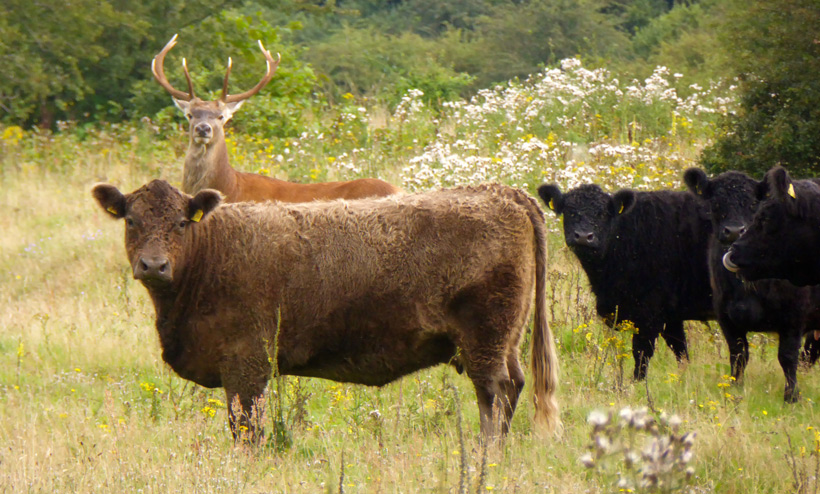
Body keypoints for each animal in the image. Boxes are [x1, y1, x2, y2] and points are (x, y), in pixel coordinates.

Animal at [91, 180, 564, 440]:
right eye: (131, 220)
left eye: (180, 222)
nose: (154, 265)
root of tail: (501, 192)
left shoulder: (246, 364)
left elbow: (247, 429)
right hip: (505, 339)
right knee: (514, 387)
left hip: (484, 339)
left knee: (495, 394)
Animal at [536, 183, 716, 380]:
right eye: (570, 211)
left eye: (603, 213)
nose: (583, 236)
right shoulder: (671, 315)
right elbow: (680, 350)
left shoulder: (649, 313)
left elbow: (642, 353)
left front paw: (637, 384)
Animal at [684, 169, 820, 402]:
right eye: (715, 204)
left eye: (753, 204)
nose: (734, 231)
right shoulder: (726, 317)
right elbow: (738, 355)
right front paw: (734, 387)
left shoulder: (794, 318)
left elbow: (787, 357)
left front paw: (791, 396)